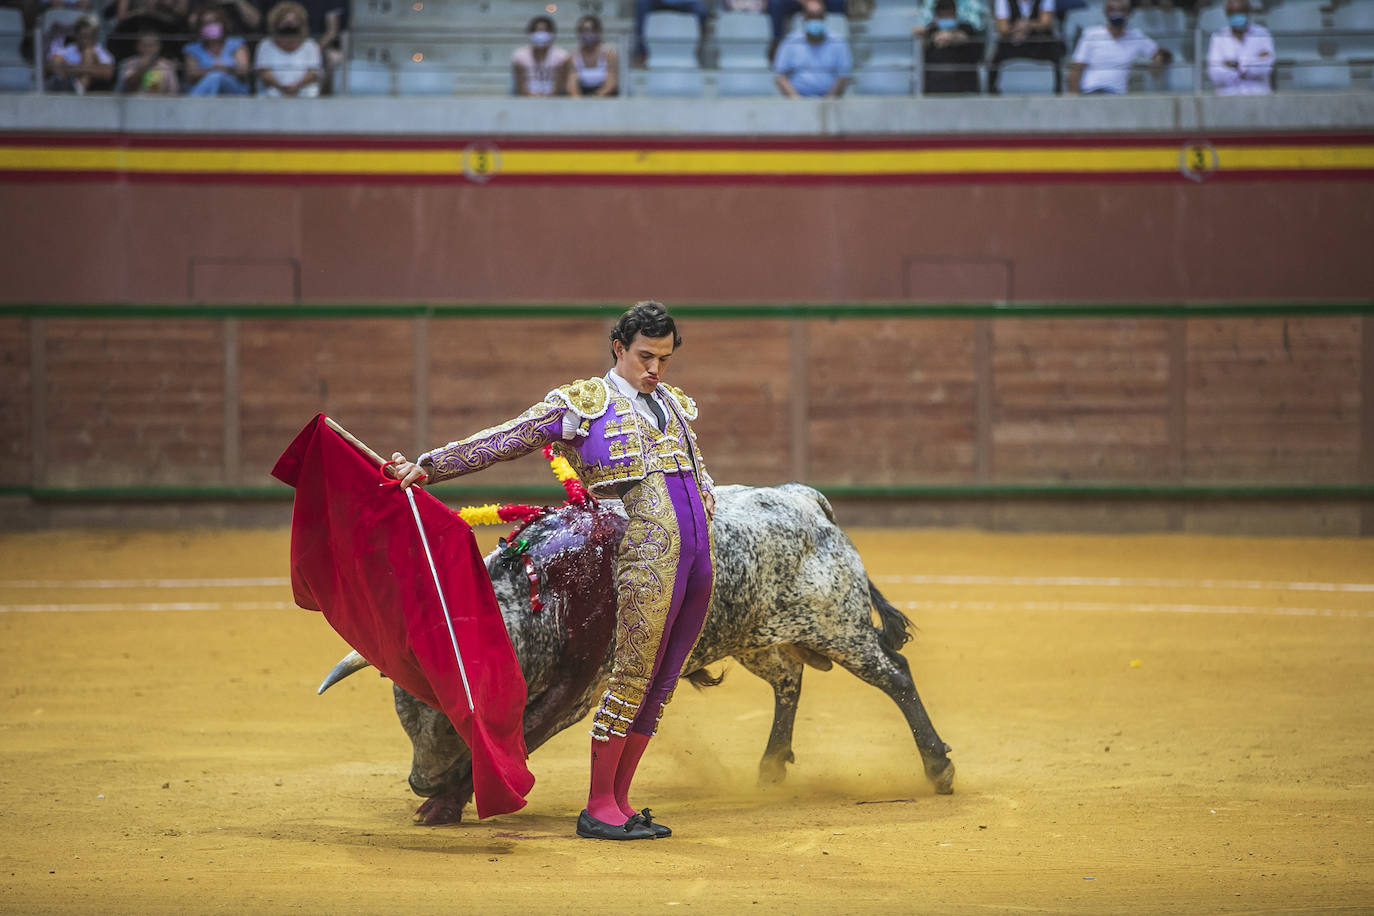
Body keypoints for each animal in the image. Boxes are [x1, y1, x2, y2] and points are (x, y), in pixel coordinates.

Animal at [318, 483, 956, 829]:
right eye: (407, 717)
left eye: (453, 721)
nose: (419, 782)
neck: (545, 584)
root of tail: (807, 499)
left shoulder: (575, 693)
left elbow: (518, 736)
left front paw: (447, 802)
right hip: (755, 635)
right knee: (789, 679)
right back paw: (772, 765)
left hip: (839, 627)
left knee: (894, 675)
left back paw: (937, 766)